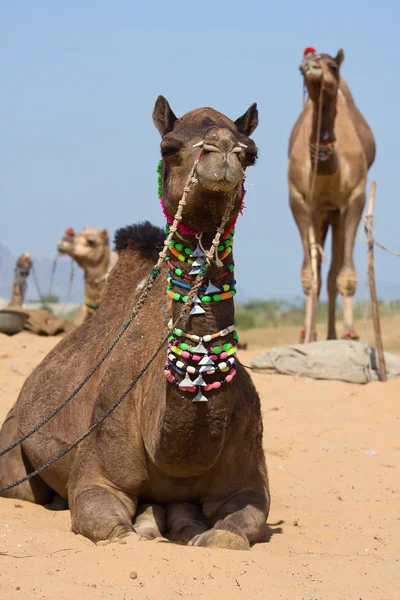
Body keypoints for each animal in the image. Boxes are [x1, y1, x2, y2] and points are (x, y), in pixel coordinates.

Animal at [0, 96, 270, 552]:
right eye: (169, 147)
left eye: (250, 152)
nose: (221, 153)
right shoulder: (97, 479)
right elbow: (116, 532)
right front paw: (146, 526)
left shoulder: (251, 483)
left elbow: (230, 534)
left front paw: (195, 530)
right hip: (14, 445)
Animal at [288, 48, 376, 340]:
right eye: (301, 67)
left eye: (333, 66)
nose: (310, 65)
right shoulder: (299, 200)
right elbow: (308, 276)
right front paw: (306, 336)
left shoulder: (355, 198)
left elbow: (345, 275)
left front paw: (350, 333)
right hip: (322, 214)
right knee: (320, 273)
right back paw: (313, 332)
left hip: (335, 214)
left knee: (332, 274)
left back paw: (333, 334)